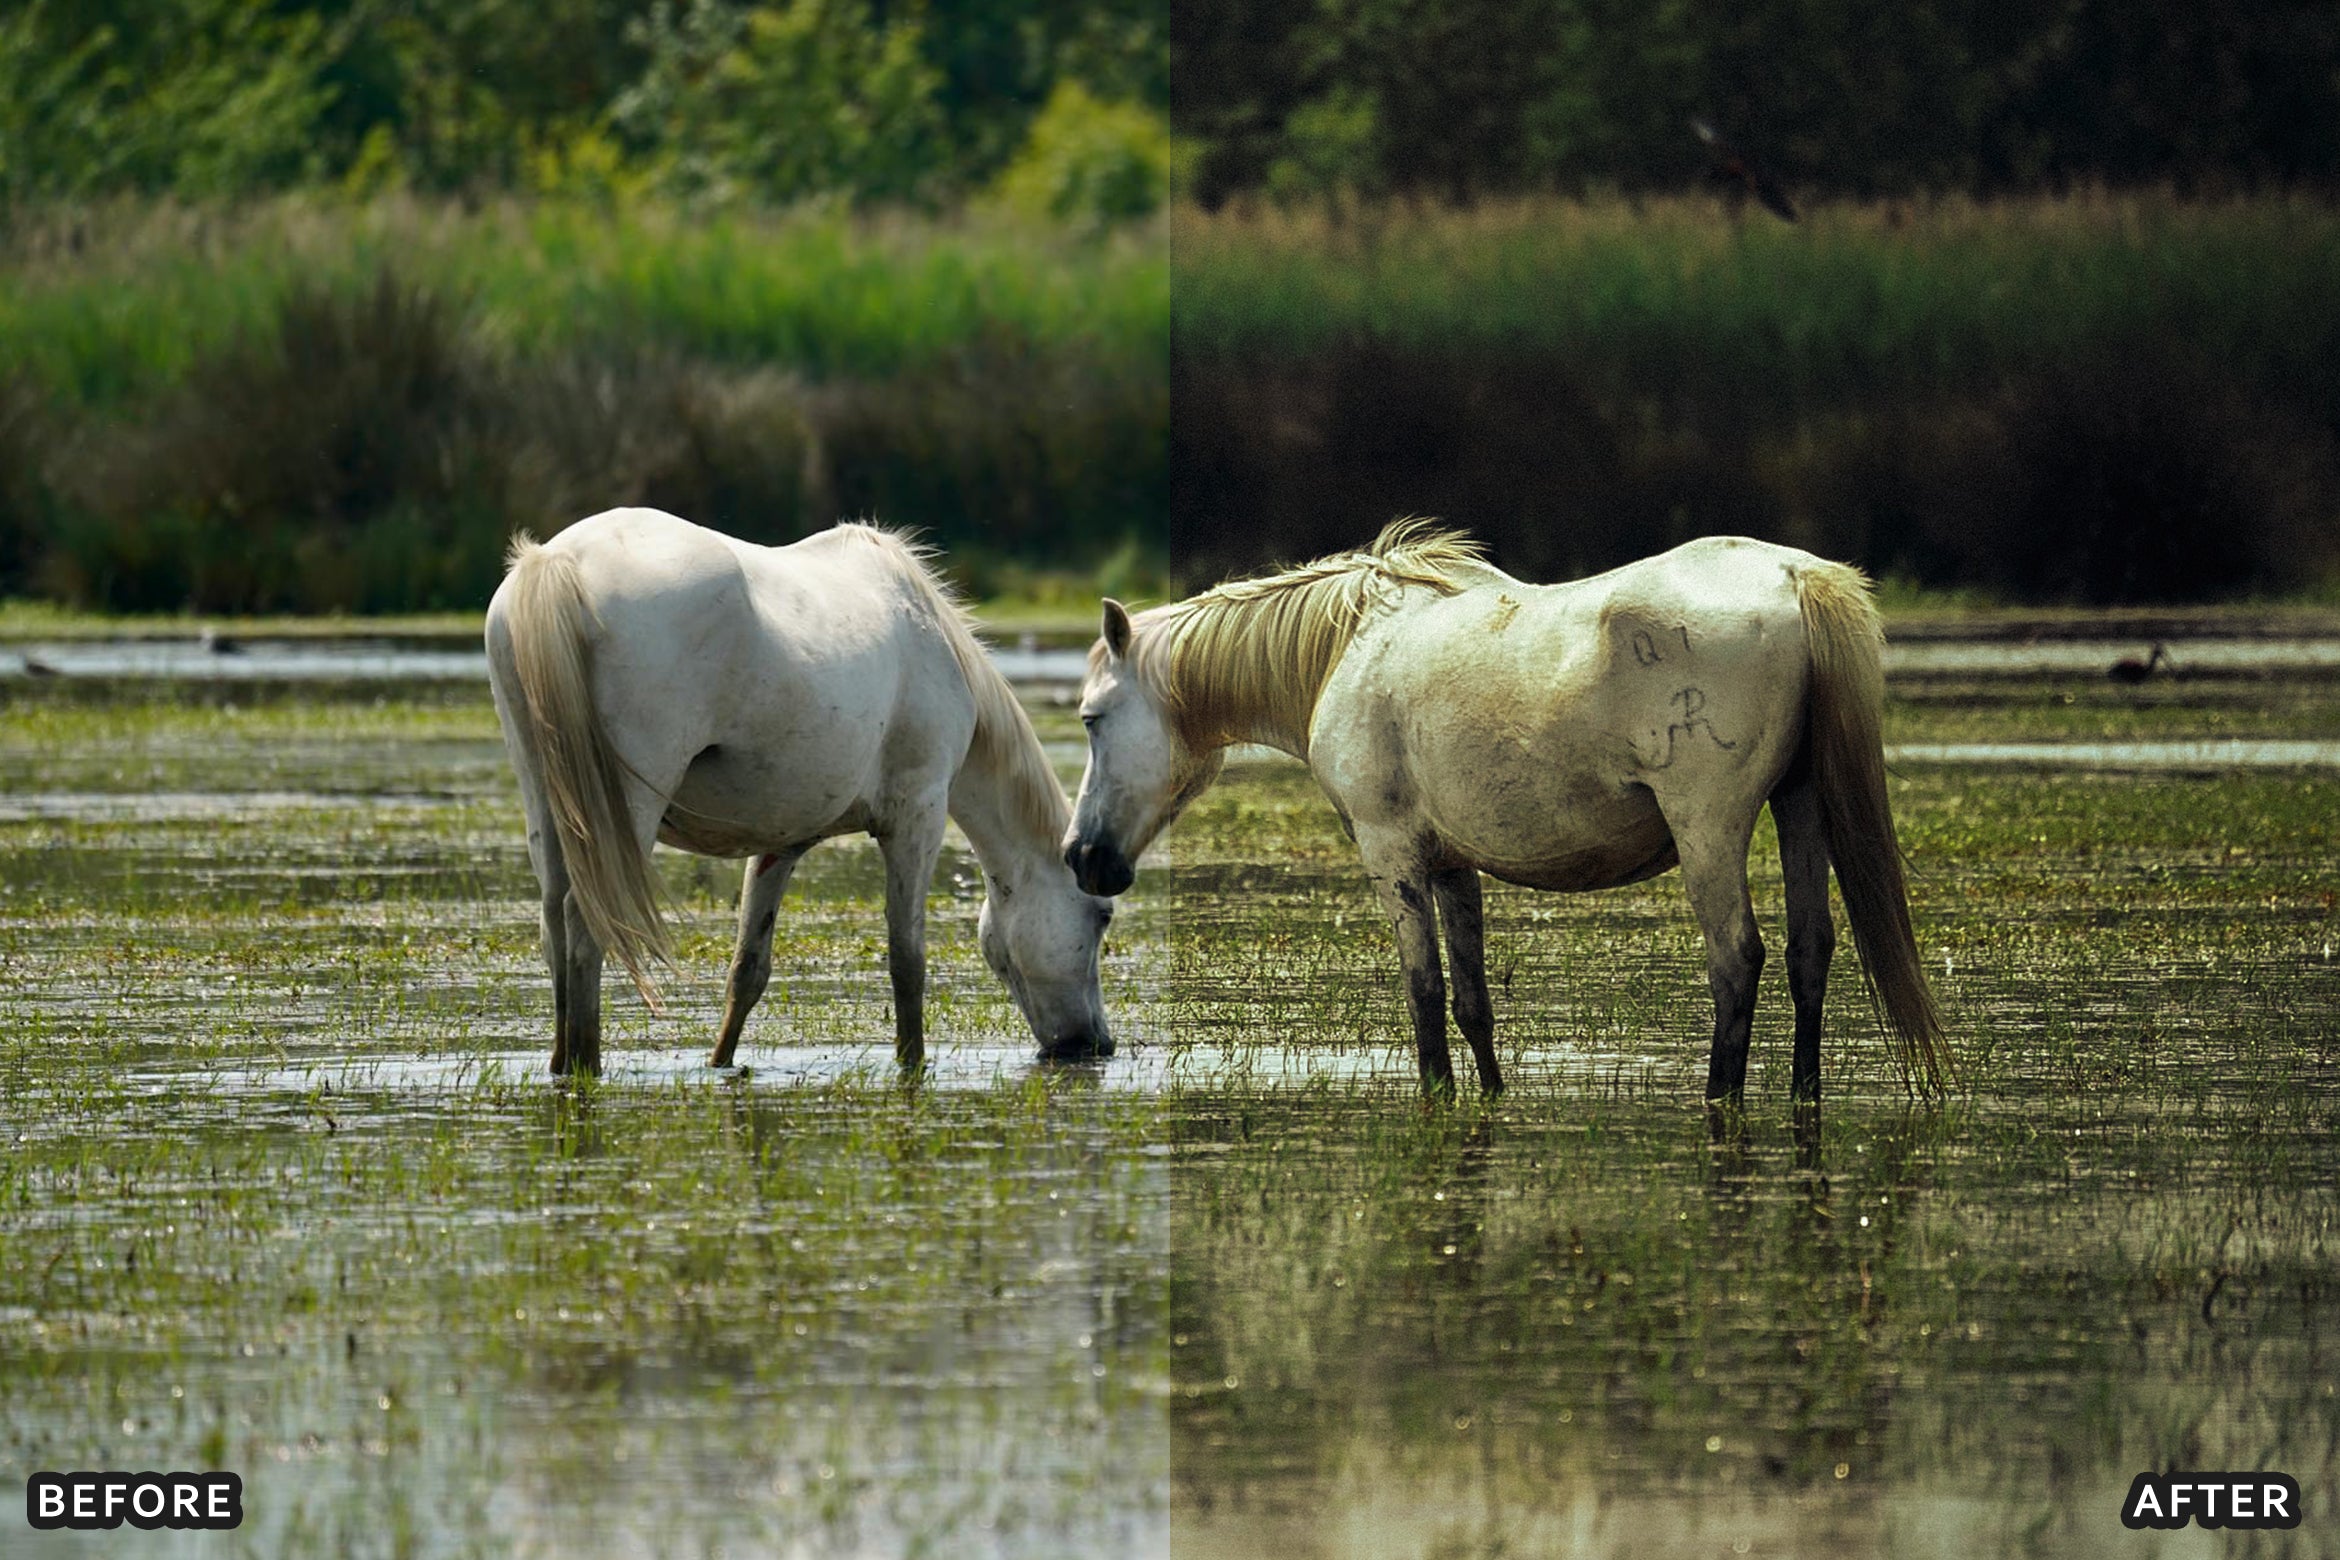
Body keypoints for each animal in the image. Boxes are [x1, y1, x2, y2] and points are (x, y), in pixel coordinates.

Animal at [485, 507, 1114, 1077]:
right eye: (1101, 916)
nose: (1096, 1044)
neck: (926, 634)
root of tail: (559, 560)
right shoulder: (918, 816)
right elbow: (907, 961)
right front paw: (912, 1064)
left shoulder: (780, 844)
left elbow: (748, 971)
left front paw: (721, 1063)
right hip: (626, 812)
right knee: (586, 925)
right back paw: (585, 1066)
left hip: (547, 805)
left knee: (554, 925)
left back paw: (562, 1064)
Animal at [1062, 520, 1945, 1105]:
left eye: (1092, 718)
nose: (1081, 857)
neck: (1348, 647)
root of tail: (1794, 576)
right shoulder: (1453, 864)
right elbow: (1472, 1002)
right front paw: (1486, 1096)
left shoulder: (1392, 854)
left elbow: (1422, 994)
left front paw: (1438, 1098)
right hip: (1801, 808)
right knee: (1808, 953)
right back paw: (1802, 1097)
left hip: (1710, 828)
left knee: (1737, 960)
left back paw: (1719, 1100)